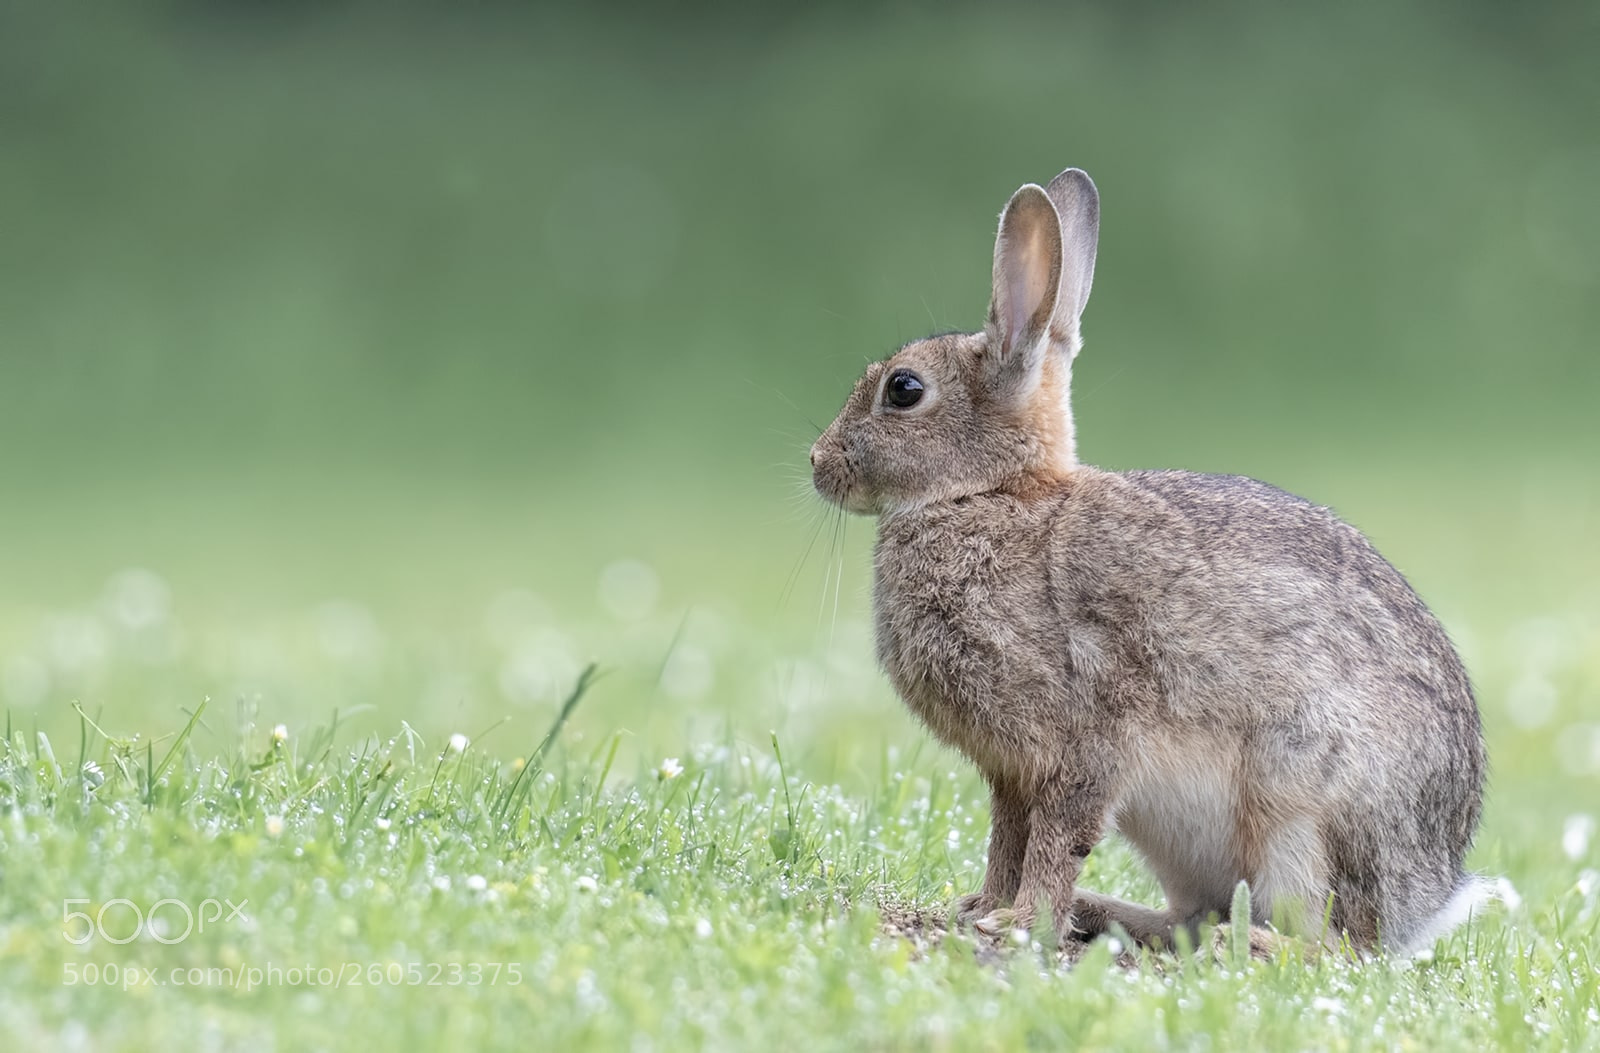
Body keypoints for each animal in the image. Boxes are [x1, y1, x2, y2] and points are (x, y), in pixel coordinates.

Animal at [809, 167, 1488, 955]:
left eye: (904, 389)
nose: (818, 463)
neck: (994, 495)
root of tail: (1428, 899)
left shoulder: (1085, 740)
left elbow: (1056, 837)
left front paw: (1019, 920)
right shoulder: (1011, 772)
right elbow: (1008, 839)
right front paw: (982, 907)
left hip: (1299, 809)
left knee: (1330, 942)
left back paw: (1250, 944)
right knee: (1193, 916)